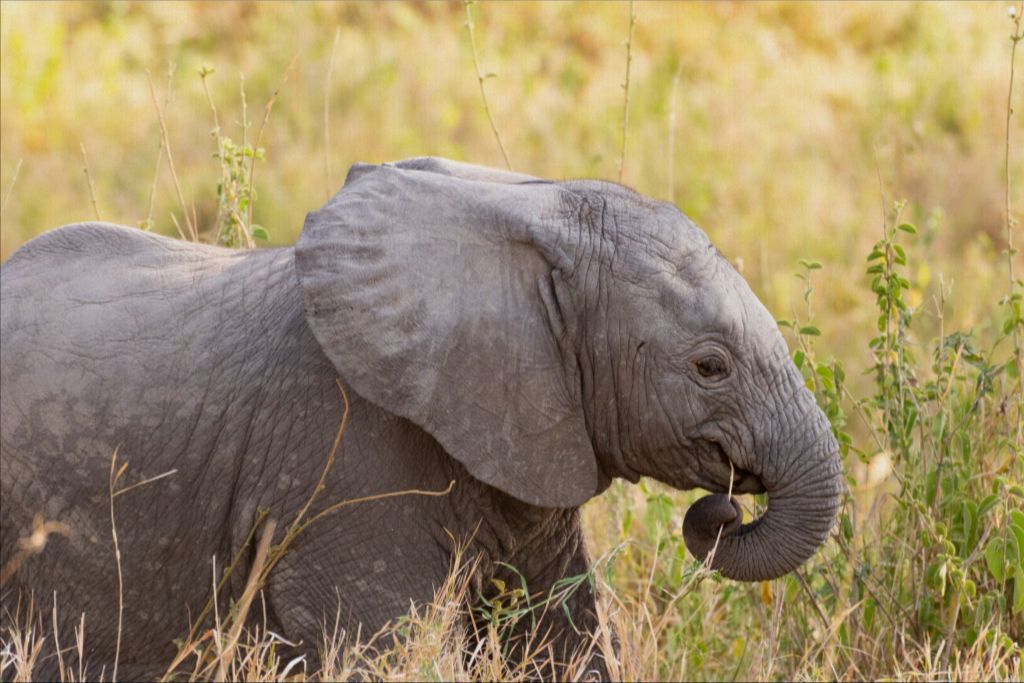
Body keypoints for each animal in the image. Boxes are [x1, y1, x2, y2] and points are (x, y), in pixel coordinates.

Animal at [0, 156, 839, 679]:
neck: (528, 219)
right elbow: (378, 646)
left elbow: (555, 643)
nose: (721, 508)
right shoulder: (342, 457)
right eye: (709, 366)